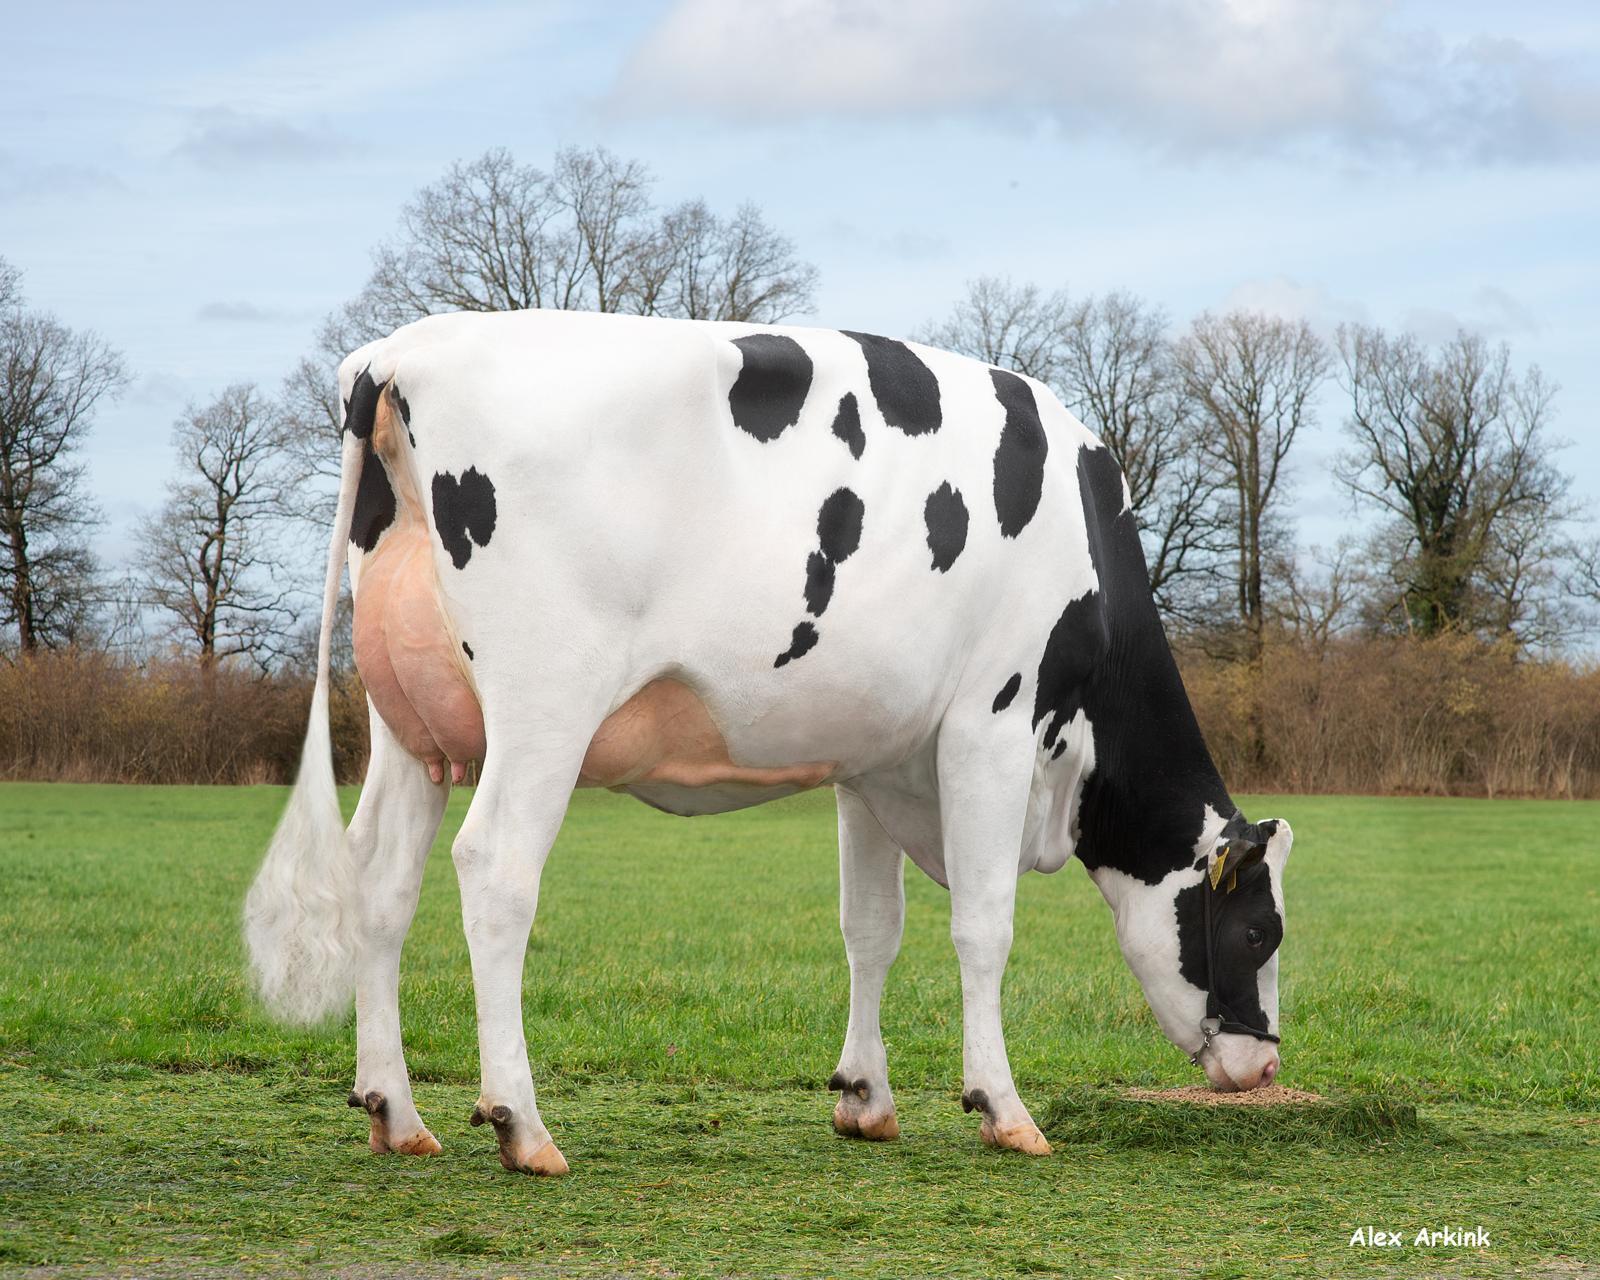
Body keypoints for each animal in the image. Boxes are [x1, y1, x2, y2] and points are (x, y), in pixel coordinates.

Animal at [243, 305, 1292, 1177]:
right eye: (1259, 929)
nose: (1264, 1065)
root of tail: (401, 351)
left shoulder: (872, 759)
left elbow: (871, 928)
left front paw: (865, 1097)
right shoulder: (992, 723)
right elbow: (983, 924)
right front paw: (1003, 1108)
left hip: (408, 721)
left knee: (382, 881)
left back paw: (395, 1111)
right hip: (544, 703)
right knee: (495, 869)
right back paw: (523, 1126)